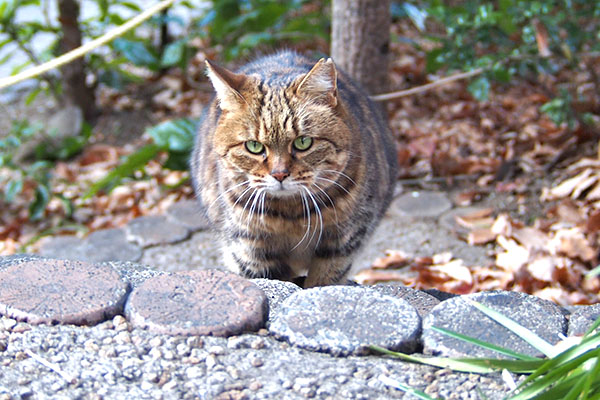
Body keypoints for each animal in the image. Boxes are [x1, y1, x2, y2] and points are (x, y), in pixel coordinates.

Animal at [192, 50, 398, 288]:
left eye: (303, 142)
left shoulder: (342, 244)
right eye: (254, 146)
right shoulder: (251, 251)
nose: (279, 174)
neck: (292, 216)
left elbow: (322, 282)